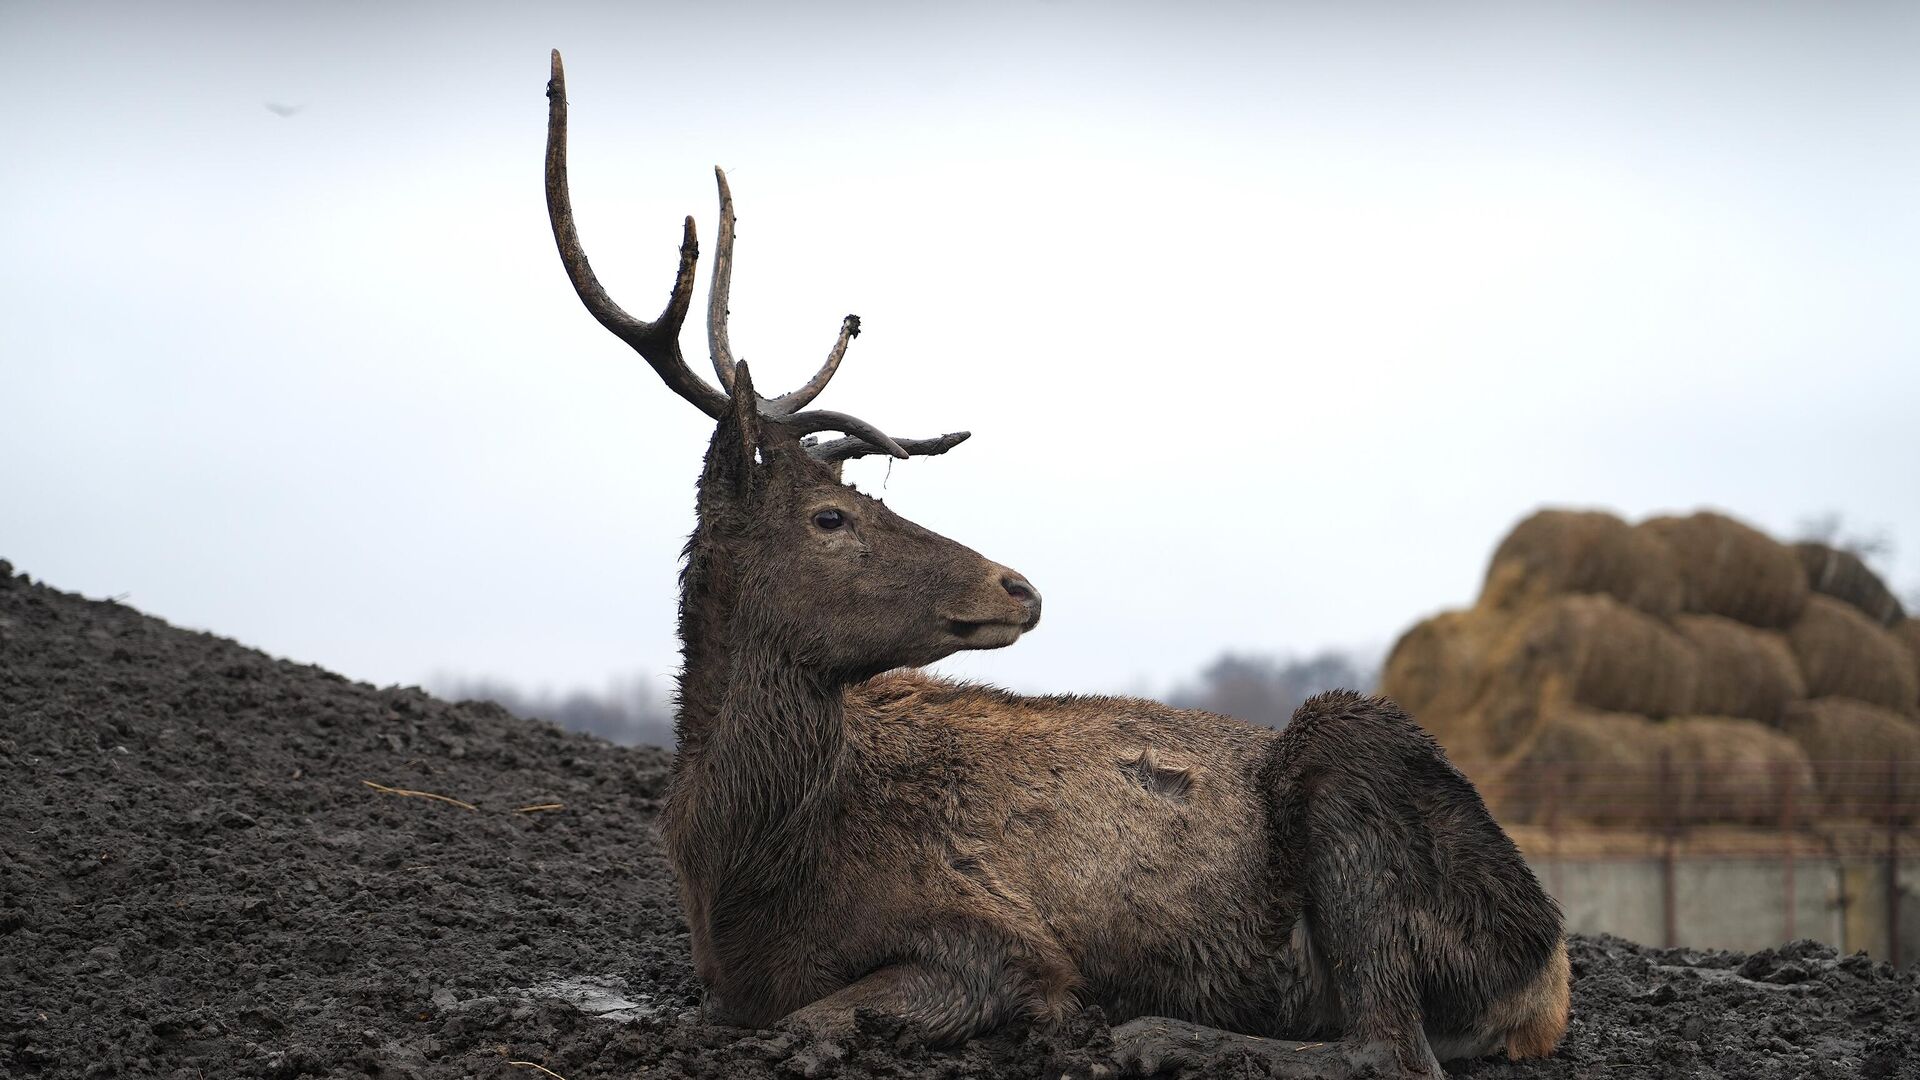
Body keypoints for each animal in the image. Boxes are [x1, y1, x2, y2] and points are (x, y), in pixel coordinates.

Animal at [545, 54, 1574, 1076]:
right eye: (831, 516)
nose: (1019, 585)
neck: (741, 869)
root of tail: (1550, 975)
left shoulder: (1000, 938)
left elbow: (820, 1019)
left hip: (1356, 749)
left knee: (1388, 1044)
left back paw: (1152, 1034)